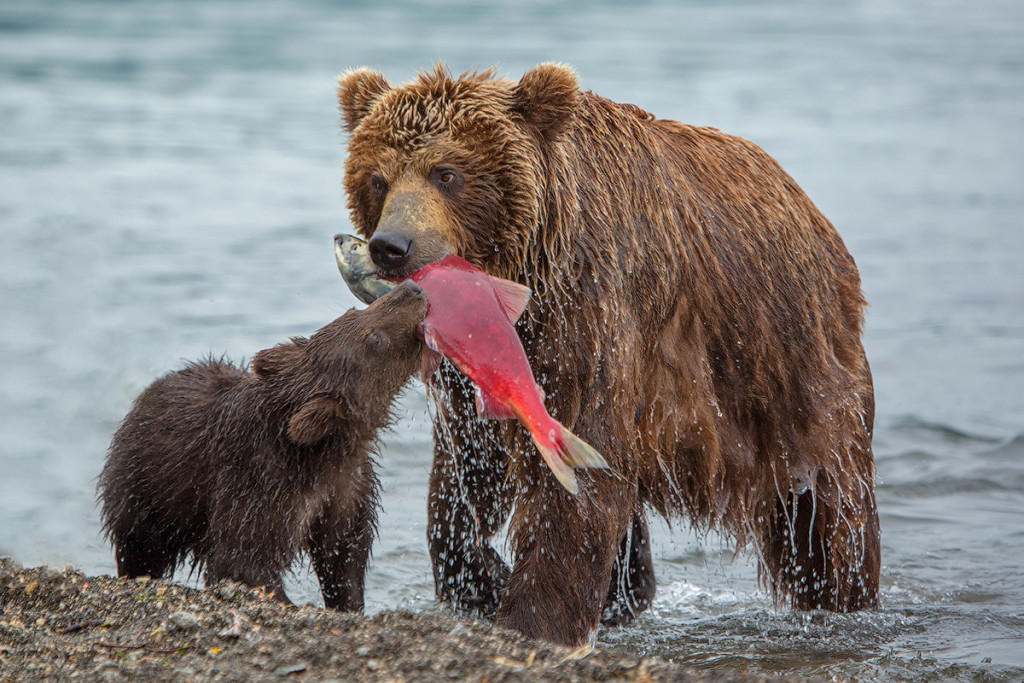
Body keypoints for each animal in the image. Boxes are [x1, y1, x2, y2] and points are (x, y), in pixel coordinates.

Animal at [337, 63, 880, 647]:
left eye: (447, 173)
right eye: (377, 179)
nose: (391, 246)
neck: (528, 272)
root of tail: (807, 205)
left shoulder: (589, 317)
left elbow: (576, 483)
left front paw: (534, 616)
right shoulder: (479, 374)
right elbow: (466, 477)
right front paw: (483, 580)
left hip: (788, 371)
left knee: (828, 514)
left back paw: (843, 596)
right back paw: (626, 595)